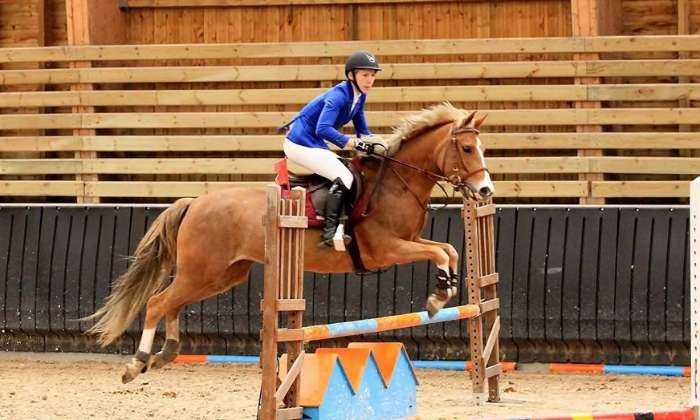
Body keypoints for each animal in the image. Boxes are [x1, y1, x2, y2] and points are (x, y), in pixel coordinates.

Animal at [86, 102, 492, 384]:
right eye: (467, 149)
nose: (486, 190)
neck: (395, 183)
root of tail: (195, 202)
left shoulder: (409, 240)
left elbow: (450, 250)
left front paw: (445, 289)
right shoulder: (386, 249)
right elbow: (439, 251)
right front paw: (437, 298)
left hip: (219, 275)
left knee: (172, 303)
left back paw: (165, 353)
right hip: (203, 272)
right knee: (158, 303)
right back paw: (137, 363)